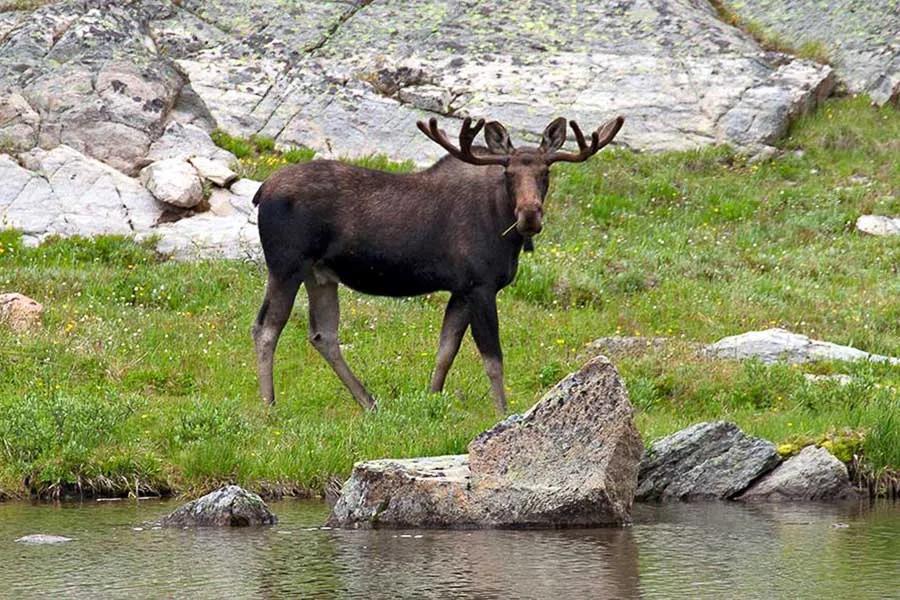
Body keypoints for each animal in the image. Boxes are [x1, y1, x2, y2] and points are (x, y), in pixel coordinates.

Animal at [250, 113, 624, 412]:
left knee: (322, 334)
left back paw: (369, 402)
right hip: (286, 265)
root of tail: (261, 190)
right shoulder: (481, 286)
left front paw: (432, 398)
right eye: (508, 173)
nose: (530, 215)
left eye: (546, 172)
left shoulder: (461, 290)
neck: (504, 229)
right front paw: (503, 410)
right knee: (266, 327)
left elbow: (446, 350)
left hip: (321, 274)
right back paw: (269, 406)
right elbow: (493, 358)